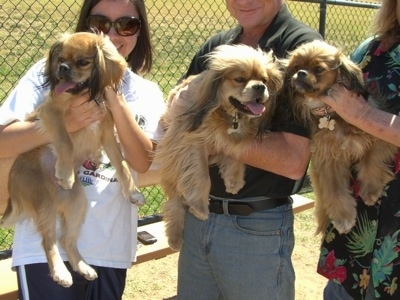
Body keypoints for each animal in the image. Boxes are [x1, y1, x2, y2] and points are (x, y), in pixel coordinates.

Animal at [0, 31, 145, 288]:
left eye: (83, 62)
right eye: (61, 59)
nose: (63, 68)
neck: (85, 95)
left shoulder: (107, 133)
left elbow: (123, 165)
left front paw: (132, 193)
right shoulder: (52, 113)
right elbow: (65, 142)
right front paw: (65, 173)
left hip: (78, 202)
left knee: (66, 239)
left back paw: (83, 267)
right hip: (43, 200)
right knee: (49, 241)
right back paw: (61, 272)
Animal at [155, 44, 284, 251]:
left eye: (264, 80)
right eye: (239, 79)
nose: (260, 87)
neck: (227, 114)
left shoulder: (232, 138)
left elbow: (235, 152)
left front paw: (234, 180)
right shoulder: (188, 142)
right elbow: (200, 176)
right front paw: (199, 206)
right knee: (174, 203)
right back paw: (174, 238)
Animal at [286, 39, 398, 236]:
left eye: (318, 69)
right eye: (296, 67)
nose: (300, 73)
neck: (329, 113)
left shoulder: (379, 141)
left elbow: (371, 161)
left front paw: (370, 190)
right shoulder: (329, 160)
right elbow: (335, 191)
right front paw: (343, 218)